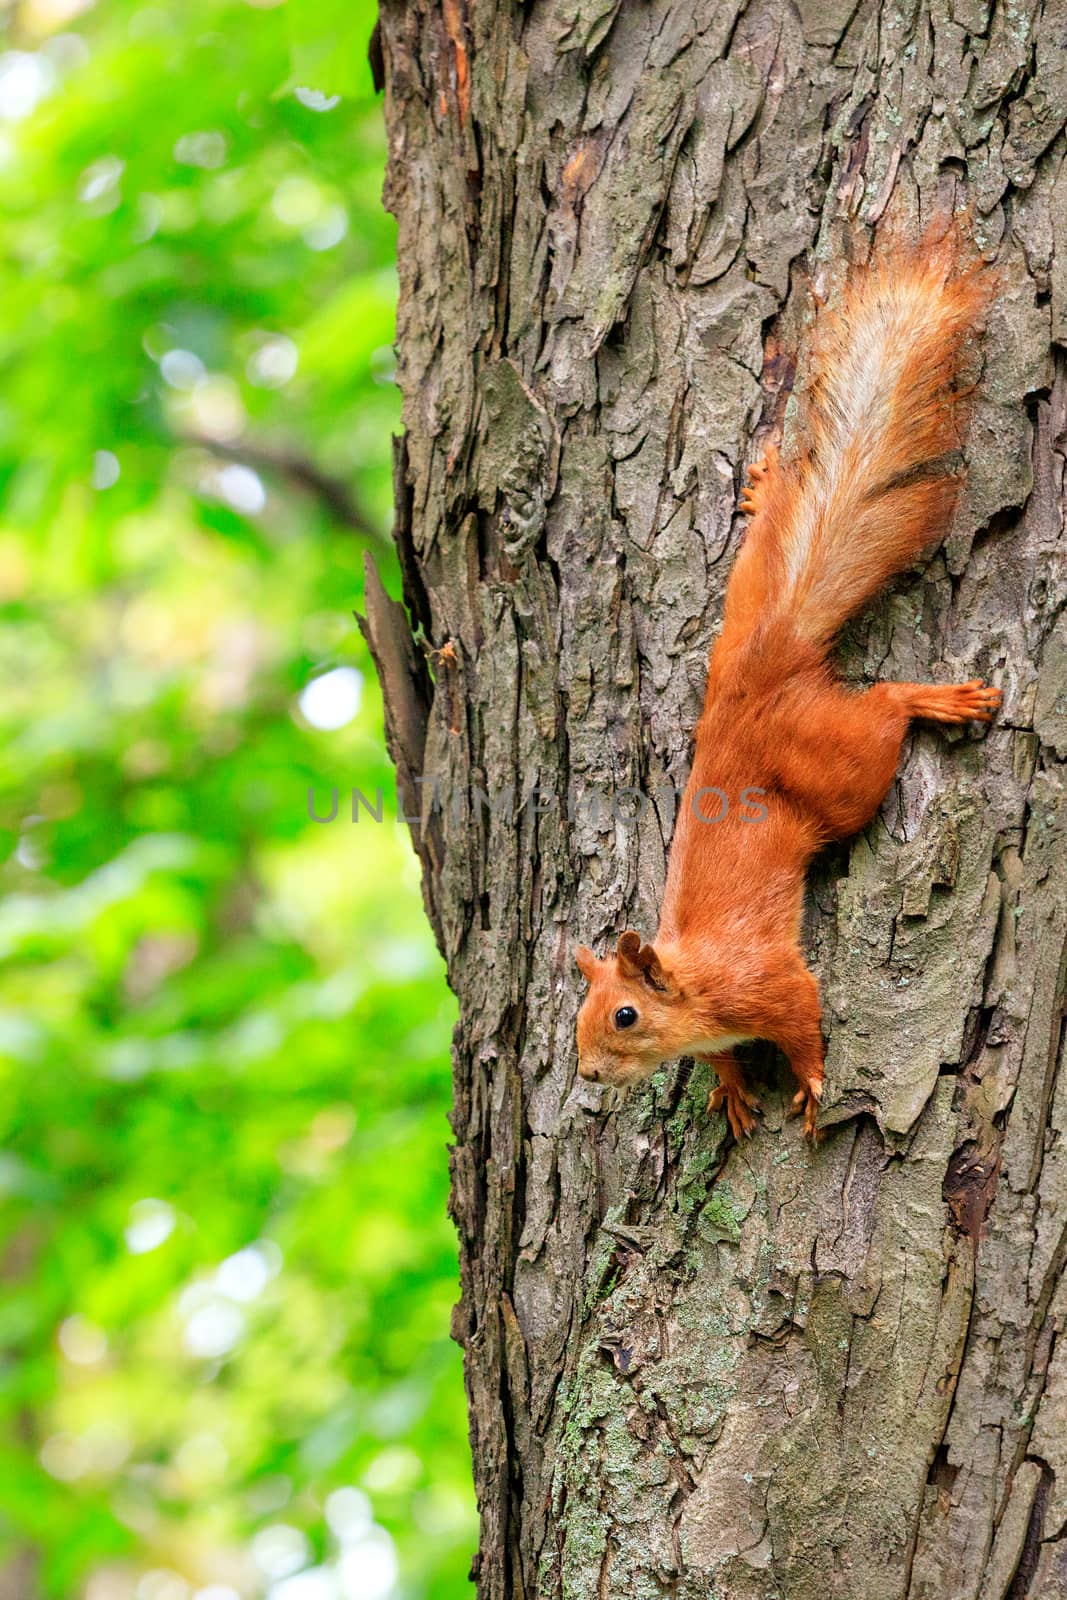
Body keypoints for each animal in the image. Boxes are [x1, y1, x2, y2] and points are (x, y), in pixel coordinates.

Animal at [575, 232, 1004, 1145]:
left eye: (624, 1015)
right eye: (582, 1017)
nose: (589, 1073)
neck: (697, 989)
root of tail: (761, 671)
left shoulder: (768, 982)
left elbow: (805, 1021)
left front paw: (807, 1084)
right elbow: (724, 1063)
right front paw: (734, 1091)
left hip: (840, 770)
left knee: (881, 711)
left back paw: (935, 701)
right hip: (741, 607)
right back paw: (769, 483)